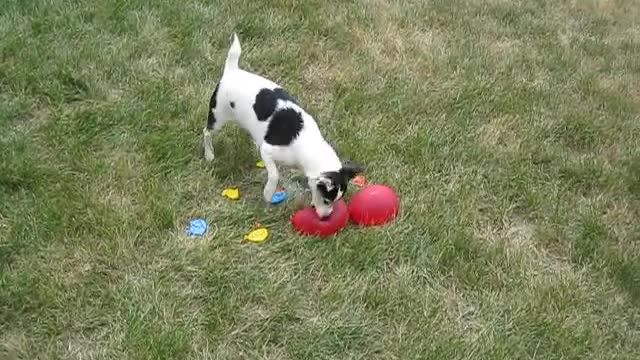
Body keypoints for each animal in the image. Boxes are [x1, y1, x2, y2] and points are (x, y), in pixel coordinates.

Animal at [205, 35, 364, 218]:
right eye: (326, 200)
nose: (326, 217)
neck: (309, 144)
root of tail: (232, 71)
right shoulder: (267, 151)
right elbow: (274, 174)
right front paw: (268, 193)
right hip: (217, 116)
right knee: (206, 132)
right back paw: (209, 154)